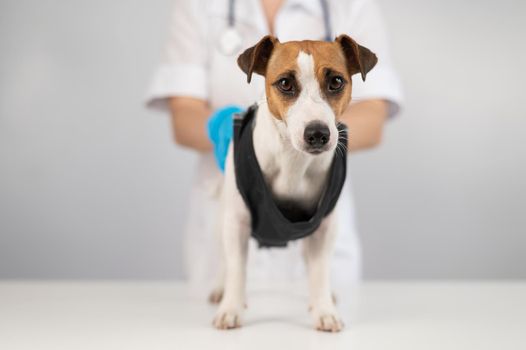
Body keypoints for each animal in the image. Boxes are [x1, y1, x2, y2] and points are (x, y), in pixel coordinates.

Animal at [212, 34, 378, 332]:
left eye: (336, 81)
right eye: (285, 83)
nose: (318, 133)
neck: (292, 159)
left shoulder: (324, 227)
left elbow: (320, 269)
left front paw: (324, 309)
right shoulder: (237, 221)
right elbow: (237, 268)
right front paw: (231, 307)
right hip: (224, 219)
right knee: (225, 259)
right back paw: (222, 289)